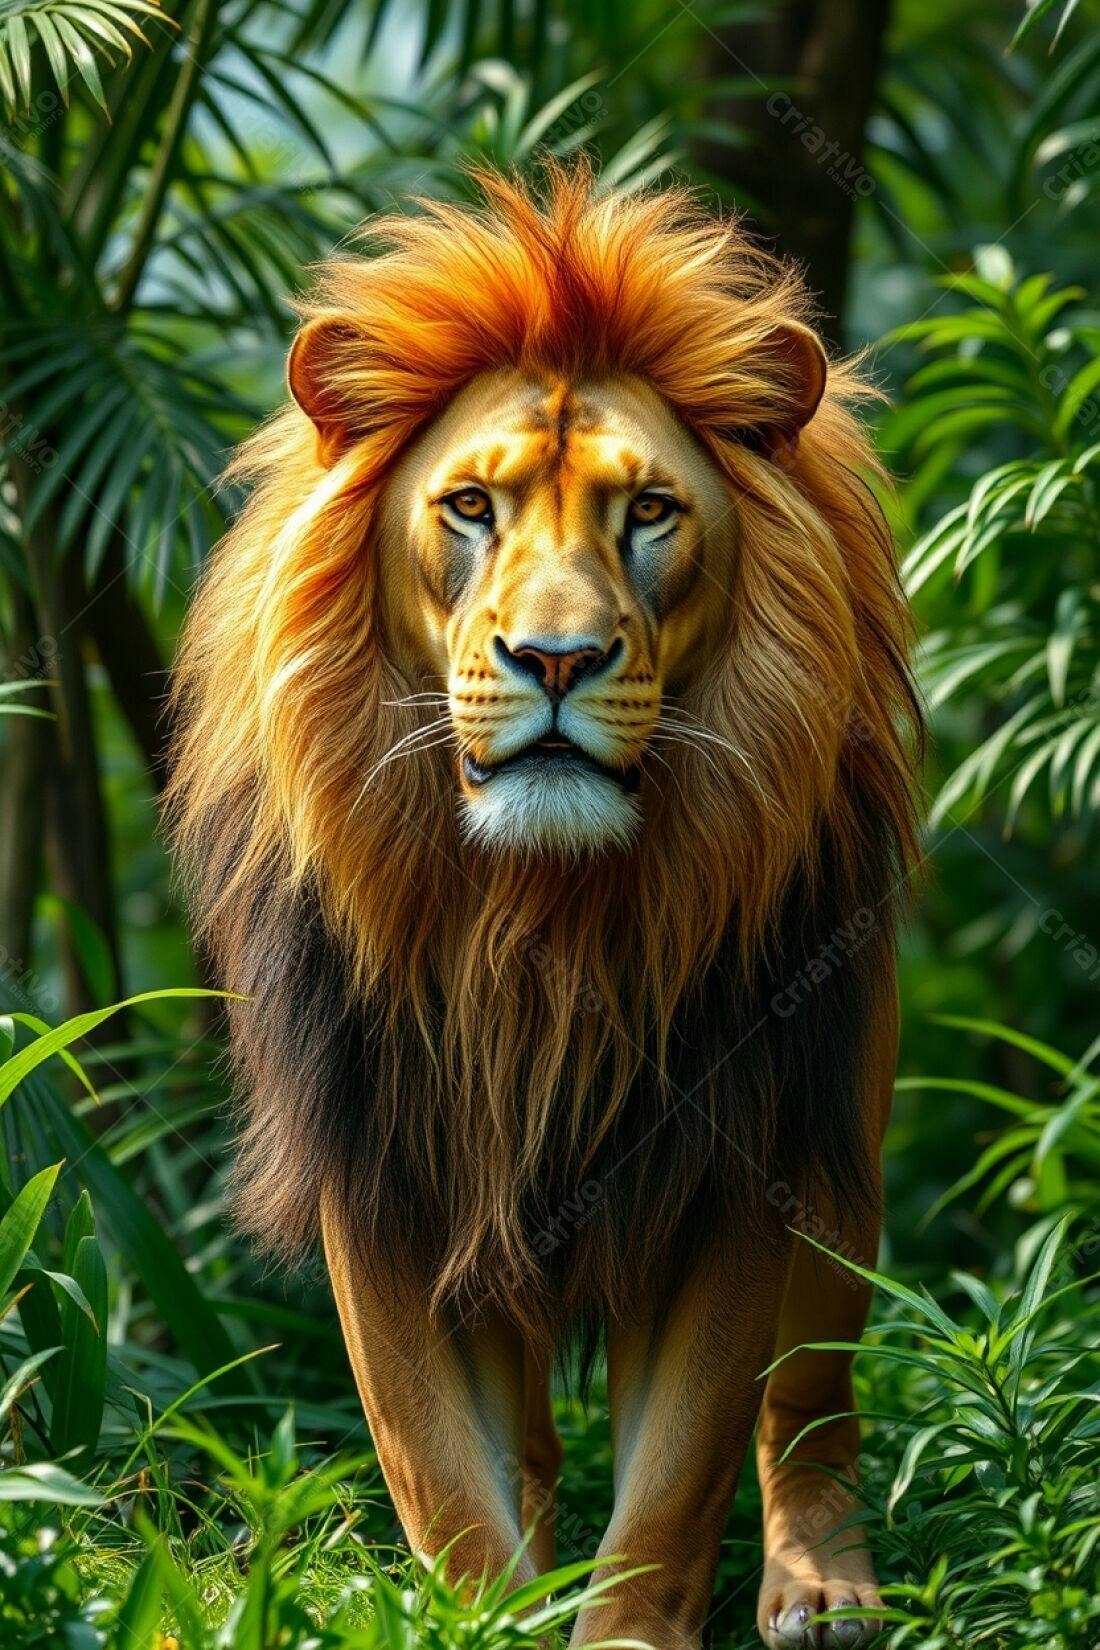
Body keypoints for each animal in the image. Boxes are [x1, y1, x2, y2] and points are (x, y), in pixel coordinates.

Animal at [169, 165, 920, 1650]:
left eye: (649, 514)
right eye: (470, 507)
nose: (557, 657)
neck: (534, 923)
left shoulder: (737, 1161)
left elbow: (676, 1481)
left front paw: (621, 1620)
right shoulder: (386, 1175)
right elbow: (441, 1474)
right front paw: (483, 1616)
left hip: (840, 1144)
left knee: (807, 1406)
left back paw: (821, 1580)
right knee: (523, 1443)